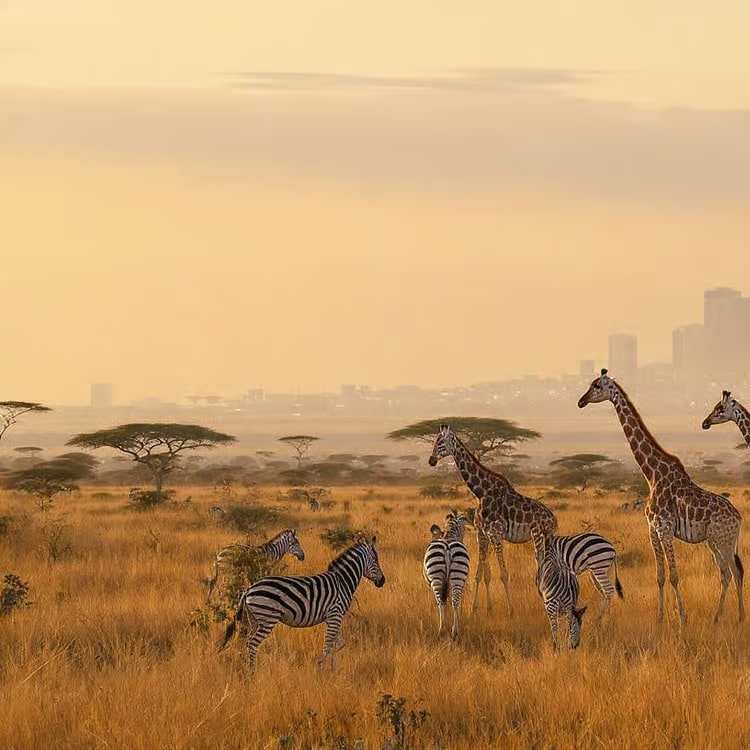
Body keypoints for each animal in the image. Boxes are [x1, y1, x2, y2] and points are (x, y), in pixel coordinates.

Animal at [218, 537, 385, 668]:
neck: (342, 581)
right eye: (376, 560)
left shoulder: (332, 617)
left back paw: (243, 667)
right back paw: (252, 672)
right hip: (267, 618)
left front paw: (333, 668)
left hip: (253, 619)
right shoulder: (335, 614)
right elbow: (328, 645)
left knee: (244, 642)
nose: (383, 581)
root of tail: (249, 589)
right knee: (251, 644)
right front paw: (322, 668)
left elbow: (337, 644)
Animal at [423, 510, 470, 639]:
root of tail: (447, 548)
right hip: (457, 577)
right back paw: (454, 631)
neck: (449, 535)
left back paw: (442, 630)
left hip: (436, 578)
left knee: (440, 602)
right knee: (455, 602)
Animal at [428, 424, 557, 615]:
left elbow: (503, 574)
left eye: (441, 442)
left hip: (539, 536)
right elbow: (481, 574)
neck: (481, 492)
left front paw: (511, 610)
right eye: (436, 440)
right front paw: (477, 608)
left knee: (542, 563)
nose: (431, 460)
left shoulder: (496, 534)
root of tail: (553, 518)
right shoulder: (482, 534)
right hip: (543, 537)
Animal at [579, 369, 744, 625]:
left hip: (723, 540)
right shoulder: (652, 528)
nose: (581, 401)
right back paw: (727, 617)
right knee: (729, 572)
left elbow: (674, 575)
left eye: (597, 386)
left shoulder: (664, 527)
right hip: (716, 541)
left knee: (734, 572)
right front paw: (659, 618)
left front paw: (682, 619)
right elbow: (660, 575)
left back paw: (737, 617)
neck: (652, 474)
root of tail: (739, 518)